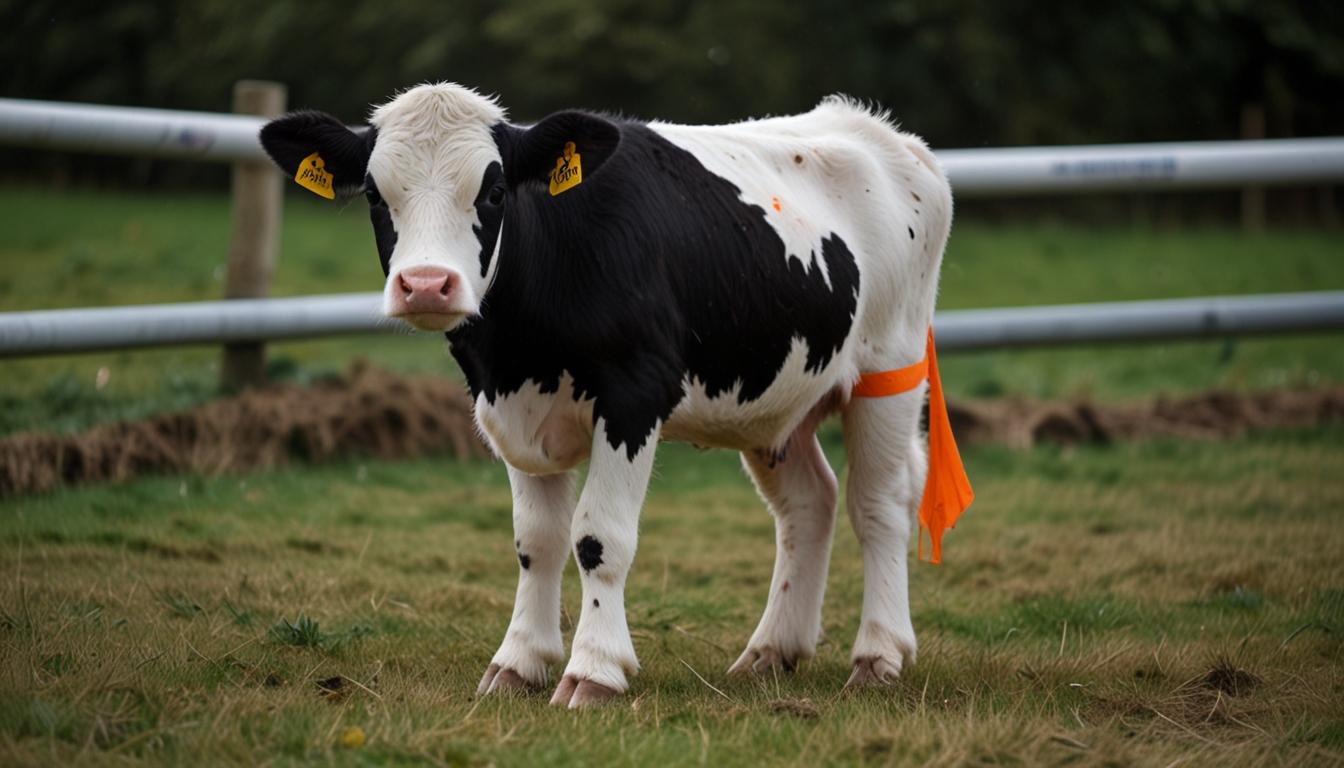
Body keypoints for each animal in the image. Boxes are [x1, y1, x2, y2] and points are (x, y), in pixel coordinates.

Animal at [258, 82, 969, 708]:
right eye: (376, 194)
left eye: (493, 189)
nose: (427, 284)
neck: (522, 342)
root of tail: (878, 130)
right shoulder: (508, 406)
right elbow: (535, 541)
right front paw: (519, 662)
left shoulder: (634, 394)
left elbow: (599, 538)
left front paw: (593, 671)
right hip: (775, 397)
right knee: (809, 504)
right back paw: (771, 651)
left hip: (891, 370)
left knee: (878, 505)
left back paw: (878, 655)